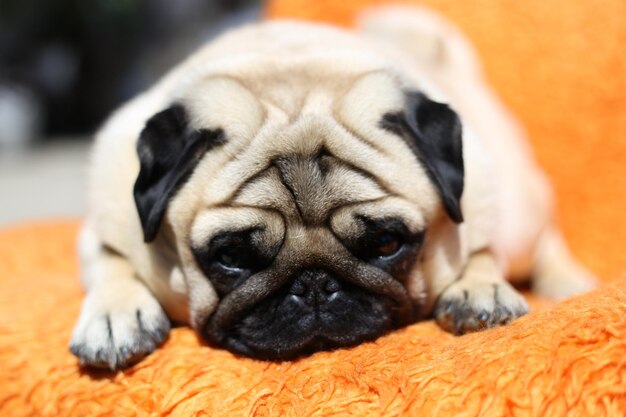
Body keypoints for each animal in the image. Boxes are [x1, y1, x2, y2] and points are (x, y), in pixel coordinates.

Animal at [70, 6, 592, 368]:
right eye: (233, 256)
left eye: (386, 243)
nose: (314, 284)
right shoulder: (106, 223)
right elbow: (113, 260)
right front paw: (115, 316)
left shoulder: (480, 203)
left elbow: (480, 250)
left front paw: (479, 289)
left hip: (519, 210)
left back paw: (567, 281)